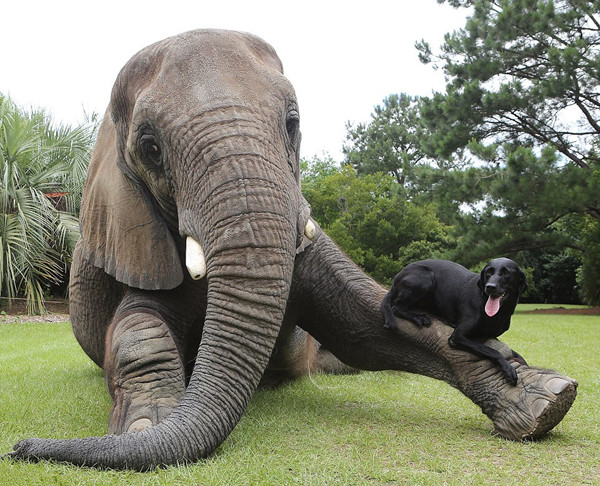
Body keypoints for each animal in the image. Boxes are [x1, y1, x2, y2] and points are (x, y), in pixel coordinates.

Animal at [382, 256, 528, 386]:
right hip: (425, 276)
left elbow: (514, 353)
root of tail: (397, 278)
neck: (498, 313)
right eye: (488, 272)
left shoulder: (491, 336)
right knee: (396, 307)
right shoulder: (457, 337)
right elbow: (492, 351)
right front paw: (508, 369)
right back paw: (419, 318)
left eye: (506, 273)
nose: (490, 287)